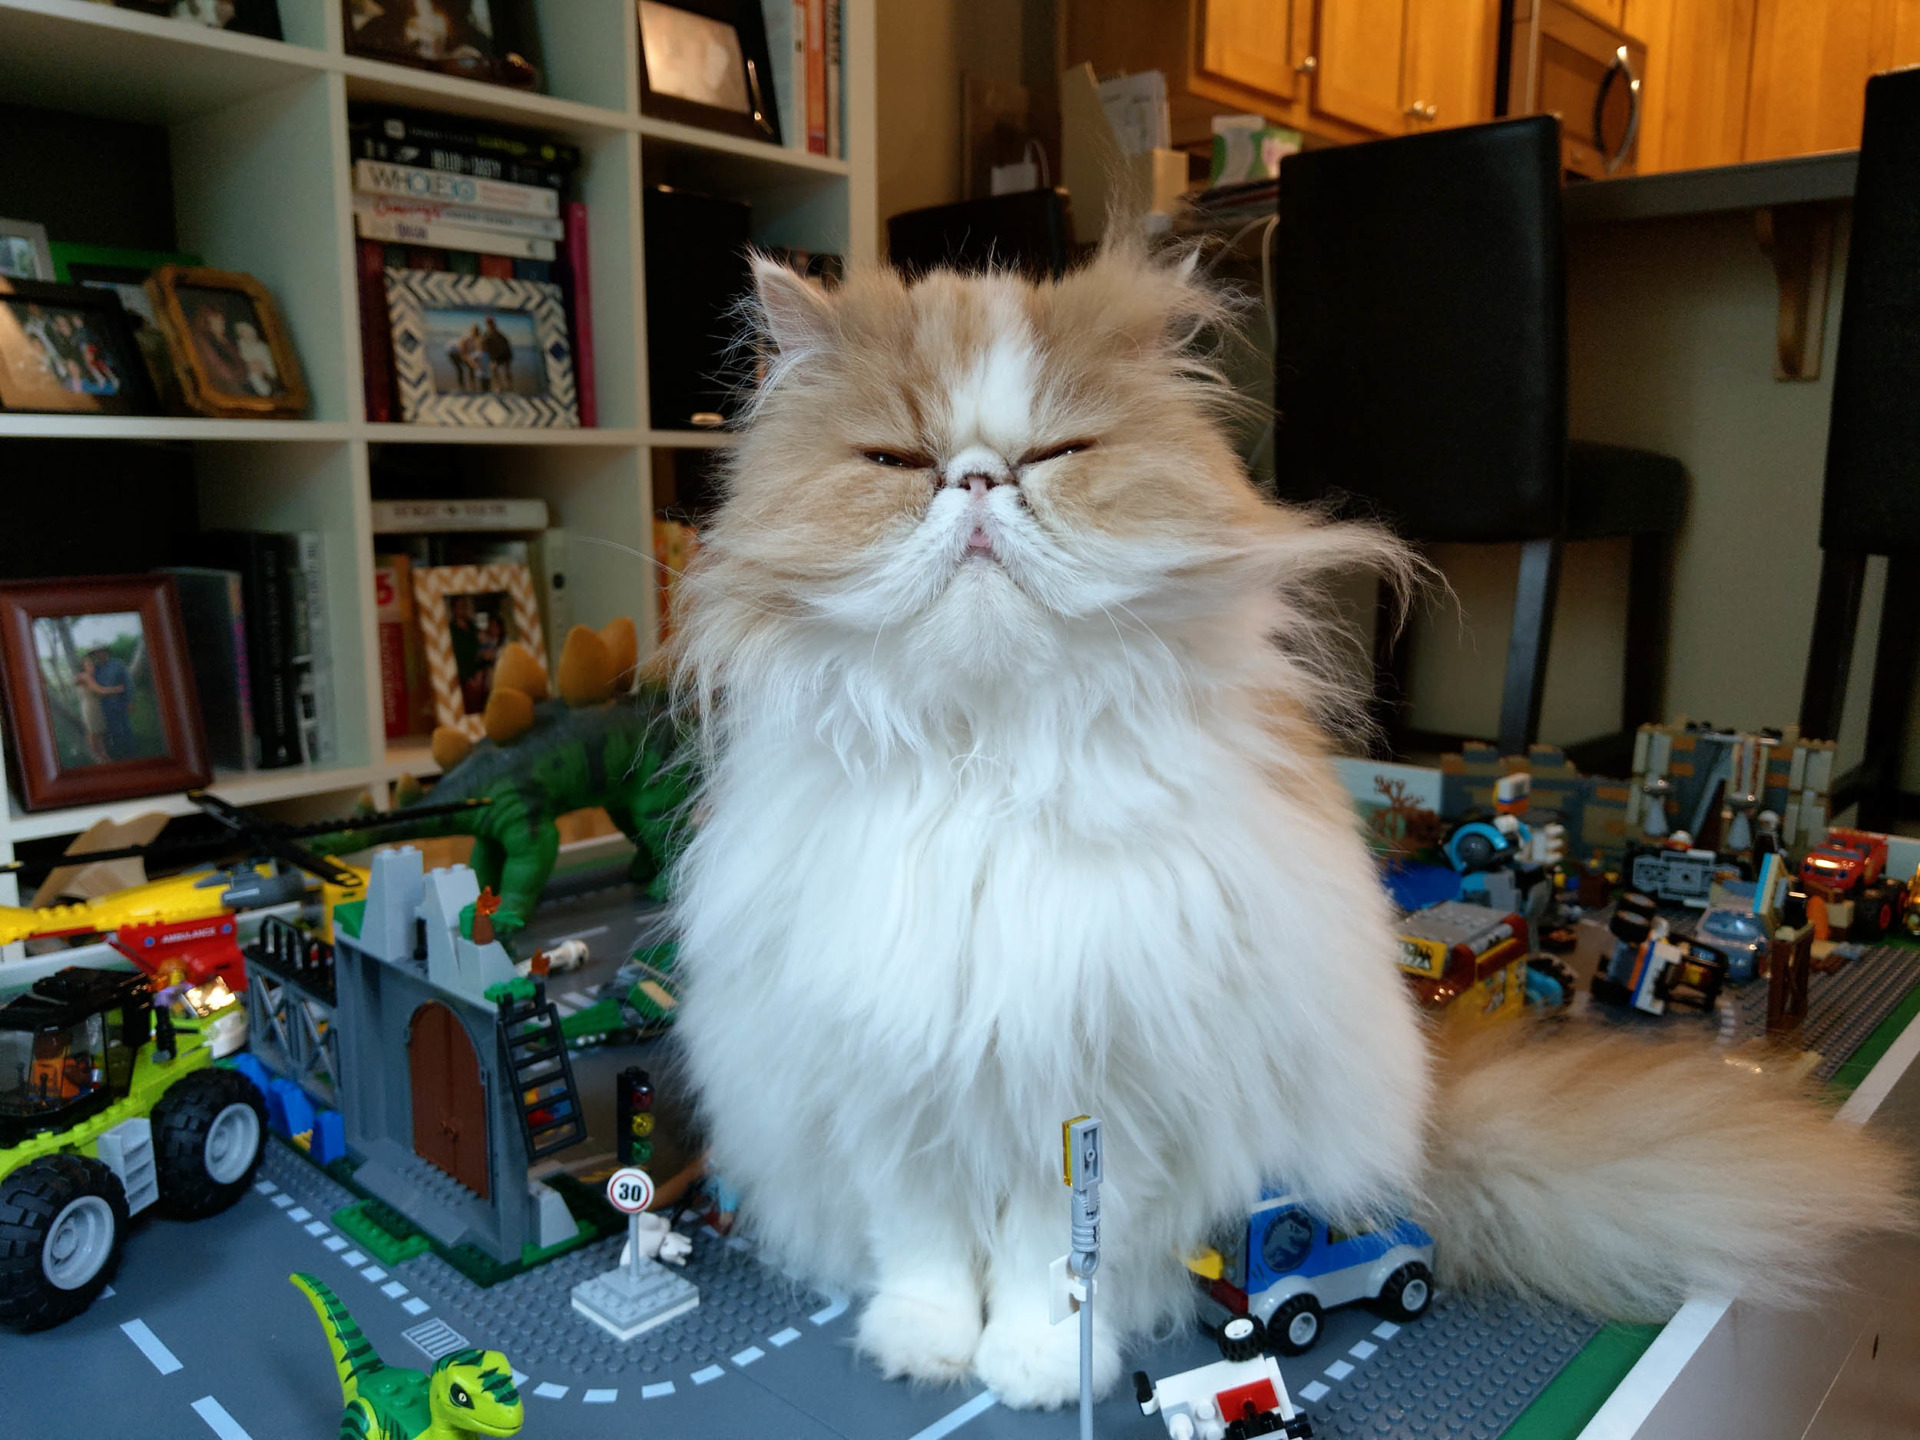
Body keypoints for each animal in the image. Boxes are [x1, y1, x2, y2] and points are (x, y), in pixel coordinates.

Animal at [667, 241, 1911, 1409]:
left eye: (1059, 456)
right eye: (894, 463)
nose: (974, 482)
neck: (989, 761)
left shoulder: (1090, 1096)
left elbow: (1046, 1265)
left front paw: (1038, 1366)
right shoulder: (888, 1083)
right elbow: (924, 1247)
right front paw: (925, 1345)